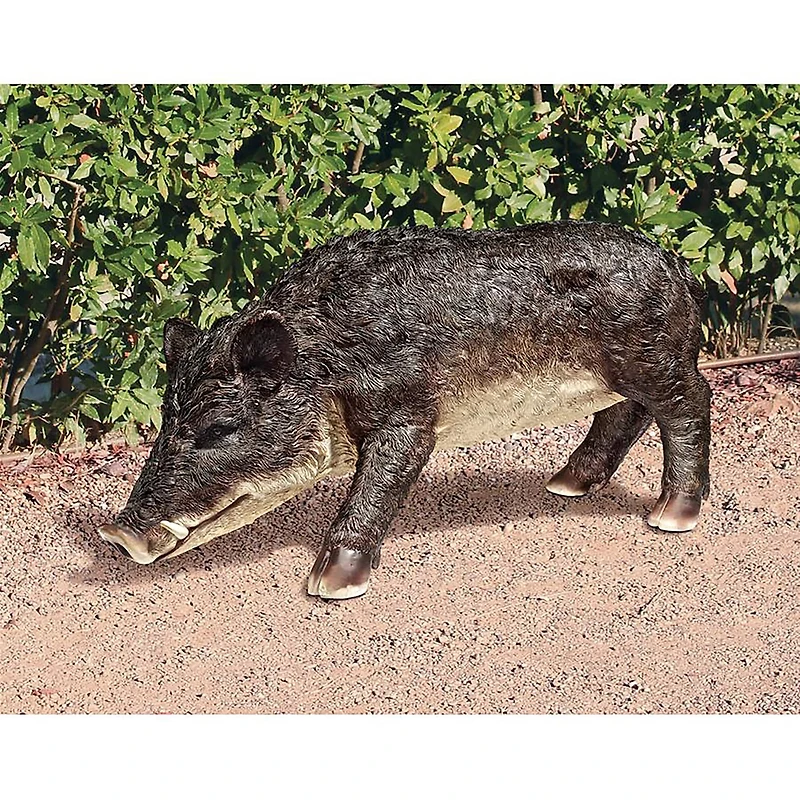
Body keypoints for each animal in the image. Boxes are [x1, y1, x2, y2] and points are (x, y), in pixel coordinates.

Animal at [99, 222, 711, 599]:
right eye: (165, 422)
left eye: (217, 428)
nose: (116, 533)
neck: (326, 358)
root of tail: (677, 265)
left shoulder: (408, 414)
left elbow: (378, 484)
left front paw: (329, 587)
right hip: (619, 375)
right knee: (624, 414)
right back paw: (564, 486)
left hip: (655, 358)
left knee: (692, 401)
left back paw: (670, 517)